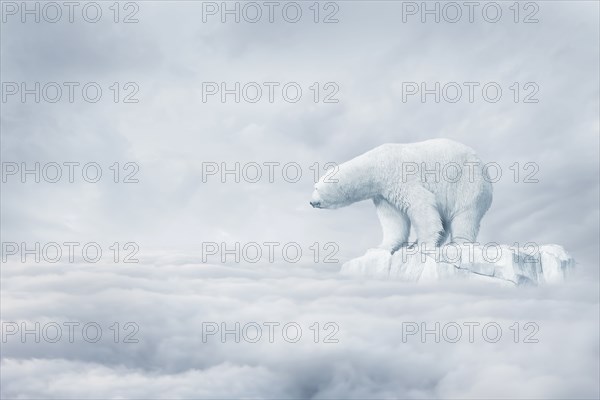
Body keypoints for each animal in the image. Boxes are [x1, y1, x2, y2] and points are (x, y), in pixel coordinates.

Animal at [310, 140, 492, 253]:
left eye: (316, 187)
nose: (311, 202)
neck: (376, 163)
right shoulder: (383, 193)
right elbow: (393, 219)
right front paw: (382, 247)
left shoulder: (398, 176)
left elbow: (421, 204)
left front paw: (423, 246)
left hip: (467, 185)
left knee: (465, 217)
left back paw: (456, 244)